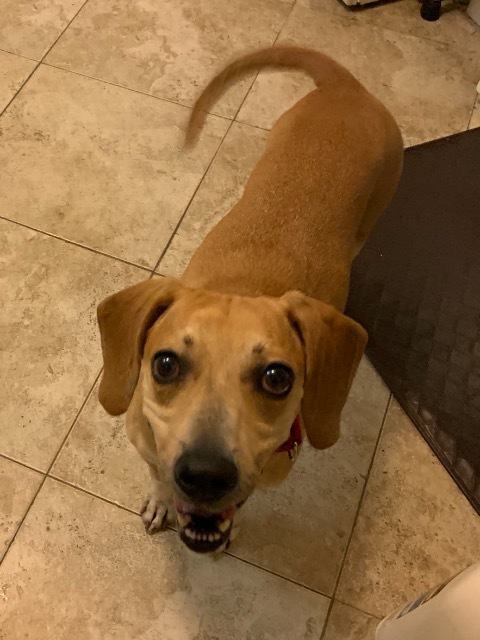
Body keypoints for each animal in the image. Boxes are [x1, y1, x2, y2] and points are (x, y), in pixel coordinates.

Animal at [97, 46, 404, 556]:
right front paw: (160, 499)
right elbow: (157, 475)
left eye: (277, 378)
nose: (205, 475)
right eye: (164, 364)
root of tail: (347, 87)